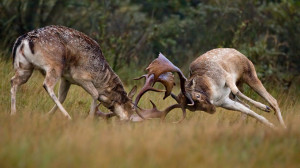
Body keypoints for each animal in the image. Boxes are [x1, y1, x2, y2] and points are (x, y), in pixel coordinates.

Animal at [10, 25, 150, 120]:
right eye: (132, 107)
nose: (130, 119)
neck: (102, 80)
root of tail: (23, 40)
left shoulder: (67, 79)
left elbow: (62, 97)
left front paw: (47, 115)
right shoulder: (81, 77)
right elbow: (95, 94)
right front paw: (90, 119)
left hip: (24, 66)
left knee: (13, 81)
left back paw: (14, 112)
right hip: (54, 66)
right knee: (47, 85)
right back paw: (68, 116)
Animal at [132, 49, 288, 129]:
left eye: (197, 97)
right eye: (194, 109)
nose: (212, 110)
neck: (211, 89)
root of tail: (238, 51)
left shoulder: (227, 76)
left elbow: (238, 92)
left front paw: (265, 108)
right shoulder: (224, 101)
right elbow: (249, 111)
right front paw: (270, 125)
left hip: (249, 74)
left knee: (273, 100)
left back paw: (281, 123)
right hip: (234, 92)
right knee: (246, 105)